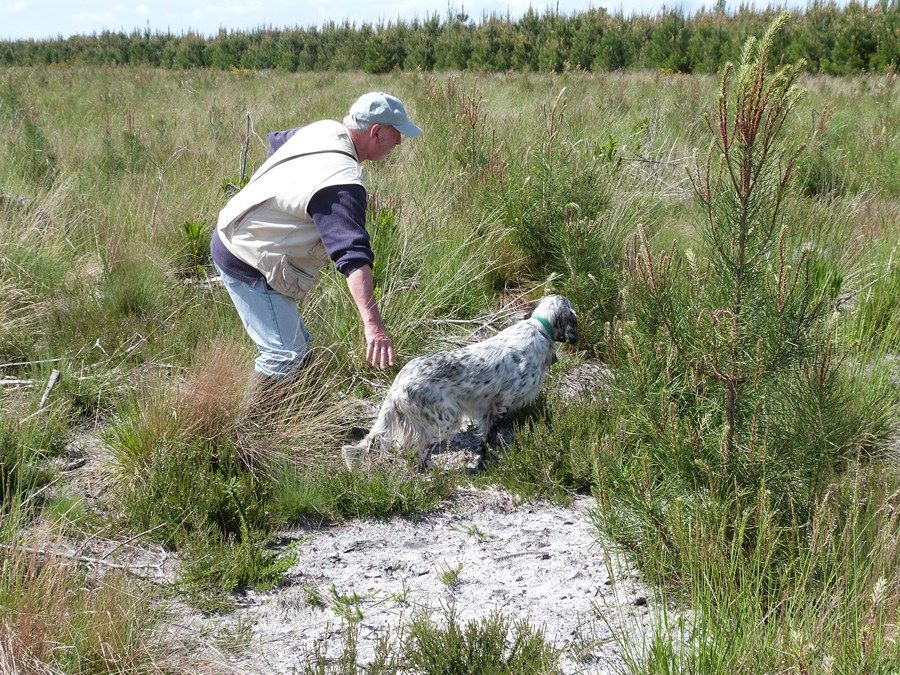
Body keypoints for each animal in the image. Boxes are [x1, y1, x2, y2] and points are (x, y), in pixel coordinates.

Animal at [342, 296, 580, 470]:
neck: (539, 328)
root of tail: (397, 384)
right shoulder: (501, 403)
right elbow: (487, 440)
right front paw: (483, 464)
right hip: (447, 419)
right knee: (420, 453)